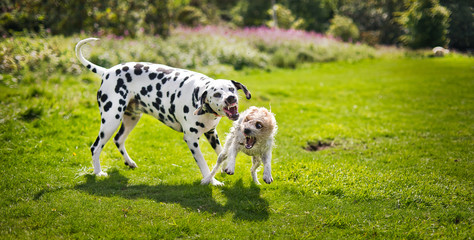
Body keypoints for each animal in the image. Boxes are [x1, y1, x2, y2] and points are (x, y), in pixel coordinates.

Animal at [74, 39, 252, 186]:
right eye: (216, 94)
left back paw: (129, 162)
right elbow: (203, 163)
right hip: (111, 121)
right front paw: (211, 180)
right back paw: (98, 172)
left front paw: (225, 168)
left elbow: (221, 153)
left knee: (119, 140)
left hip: (131, 119)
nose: (230, 98)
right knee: (95, 147)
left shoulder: (211, 133)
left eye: (231, 89)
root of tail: (107, 72)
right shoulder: (191, 139)